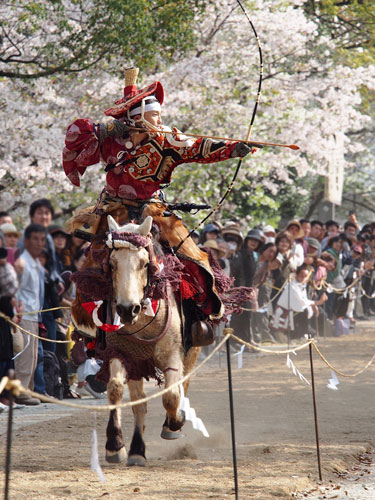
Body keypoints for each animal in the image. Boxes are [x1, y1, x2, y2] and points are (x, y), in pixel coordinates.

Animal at [72, 215, 200, 464]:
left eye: (143, 263)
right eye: (112, 264)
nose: (126, 309)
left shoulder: (172, 354)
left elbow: (171, 396)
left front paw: (175, 422)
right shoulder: (121, 355)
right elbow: (115, 389)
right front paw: (115, 446)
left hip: (192, 352)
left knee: (183, 384)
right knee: (139, 401)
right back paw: (137, 451)